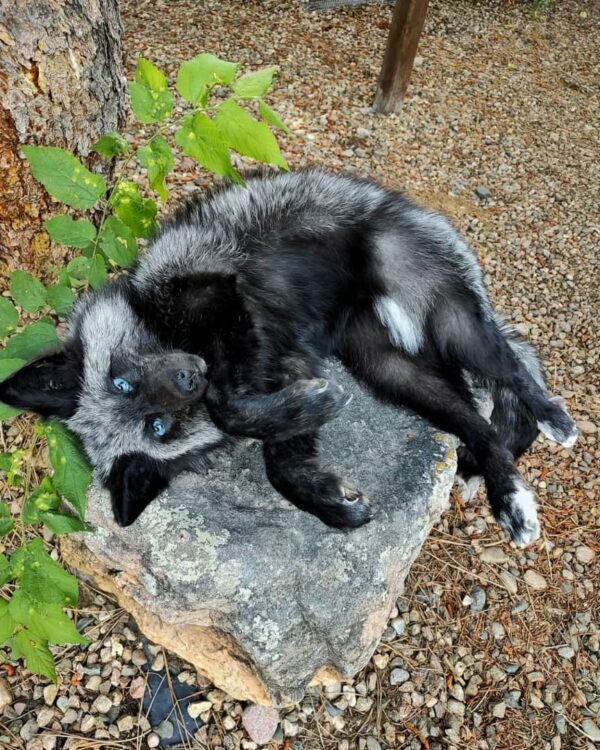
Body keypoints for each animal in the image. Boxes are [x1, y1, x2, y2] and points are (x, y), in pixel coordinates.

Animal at [0, 168, 578, 546]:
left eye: (122, 382)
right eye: (157, 428)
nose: (189, 378)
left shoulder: (221, 295)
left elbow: (228, 409)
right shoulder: (290, 364)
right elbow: (279, 462)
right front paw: (329, 500)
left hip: (451, 320)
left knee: (514, 368)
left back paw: (553, 421)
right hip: (390, 370)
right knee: (478, 426)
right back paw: (509, 498)